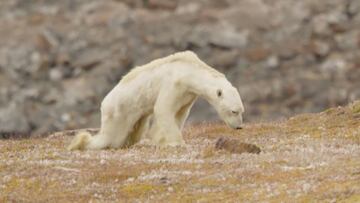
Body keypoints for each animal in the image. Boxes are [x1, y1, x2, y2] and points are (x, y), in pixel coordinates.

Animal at [67, 50, 245, 149]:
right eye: (234, 111)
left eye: (241, 111)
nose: (239, 127)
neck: (189, 71)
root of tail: (104, 104)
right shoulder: (173, 84)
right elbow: (163, 109)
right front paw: (176, 143)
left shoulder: (188, 94)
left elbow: (180, 113)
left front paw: (160, 139)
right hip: (119, 112)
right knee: (111, 137)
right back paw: (81, 142)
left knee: (136, 130)